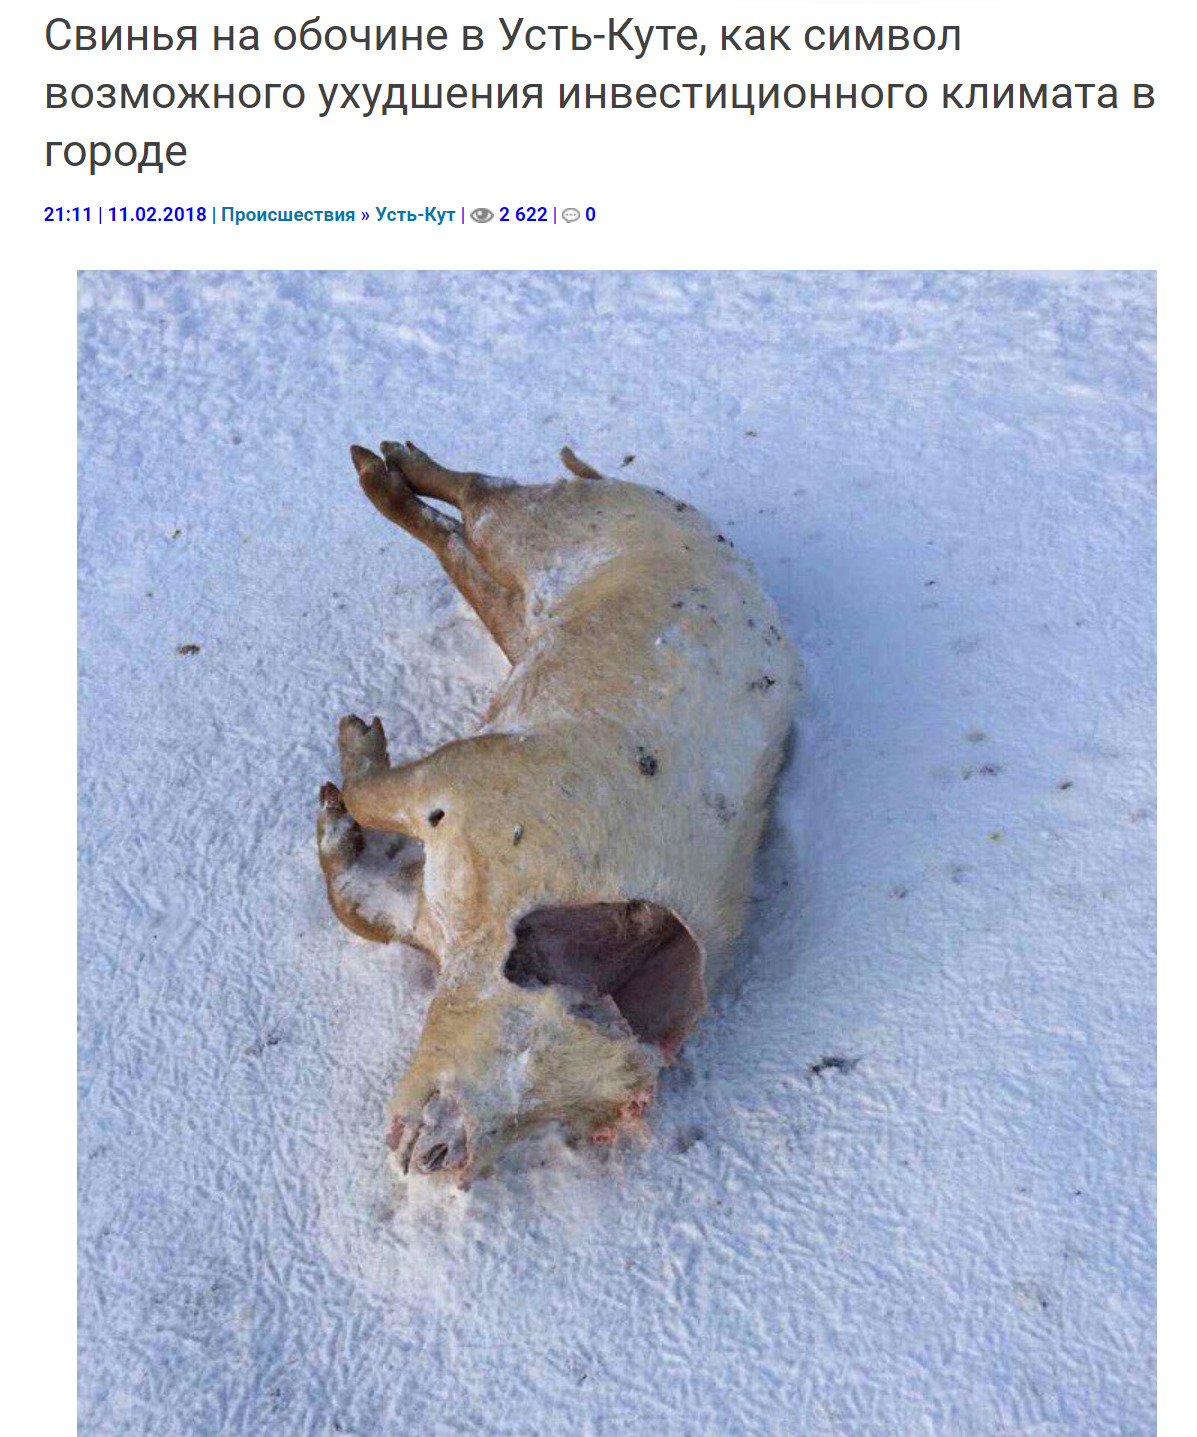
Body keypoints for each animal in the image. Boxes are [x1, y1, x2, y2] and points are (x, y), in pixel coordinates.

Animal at [317, 441, 798, 1182]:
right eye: (527, 1038)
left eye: (544, 1122)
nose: (442, 1161)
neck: (478, 928)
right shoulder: (474, 777)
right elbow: (374, 808)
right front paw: (349, 748)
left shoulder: (430, 891)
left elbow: (364, 906)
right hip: (554, 529)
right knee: (485, 500)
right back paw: (380, 461)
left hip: (530, 601)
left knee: (472, 556)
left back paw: (384, 467)